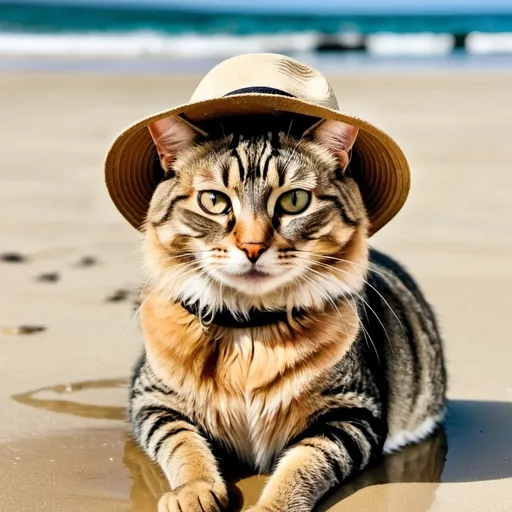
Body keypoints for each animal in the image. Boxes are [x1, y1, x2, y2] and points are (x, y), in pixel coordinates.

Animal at [130, 113, 446, 512]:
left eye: (294, 200)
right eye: (214, 201)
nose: (252, 247)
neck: (249, 331)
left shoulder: (354, 416)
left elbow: (304, 463)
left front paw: (270, 507)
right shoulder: (151, 402)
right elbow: (182, 443)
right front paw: (194, 491)